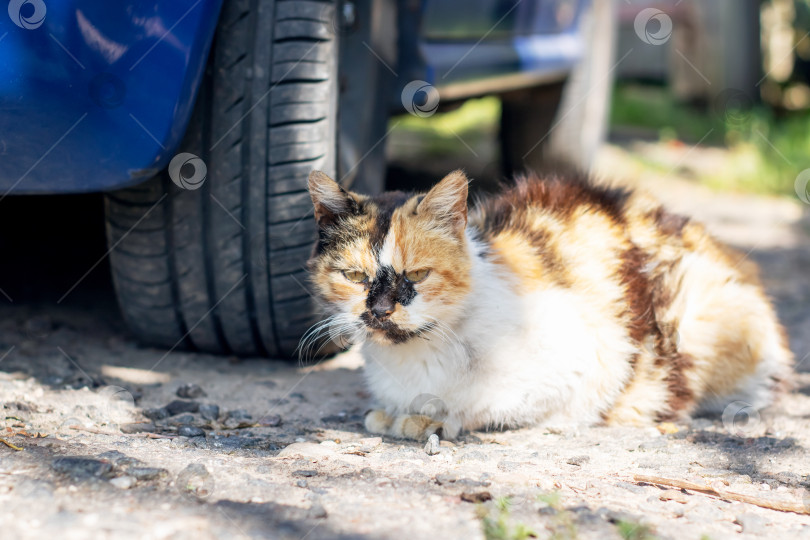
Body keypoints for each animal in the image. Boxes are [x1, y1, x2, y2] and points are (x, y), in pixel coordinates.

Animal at [304, 171, 788, 440]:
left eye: (419, 275)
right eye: (355, 277)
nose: (381, 310)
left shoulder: (591, 362)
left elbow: (486, 403)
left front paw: (427, 418)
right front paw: (395, 413)